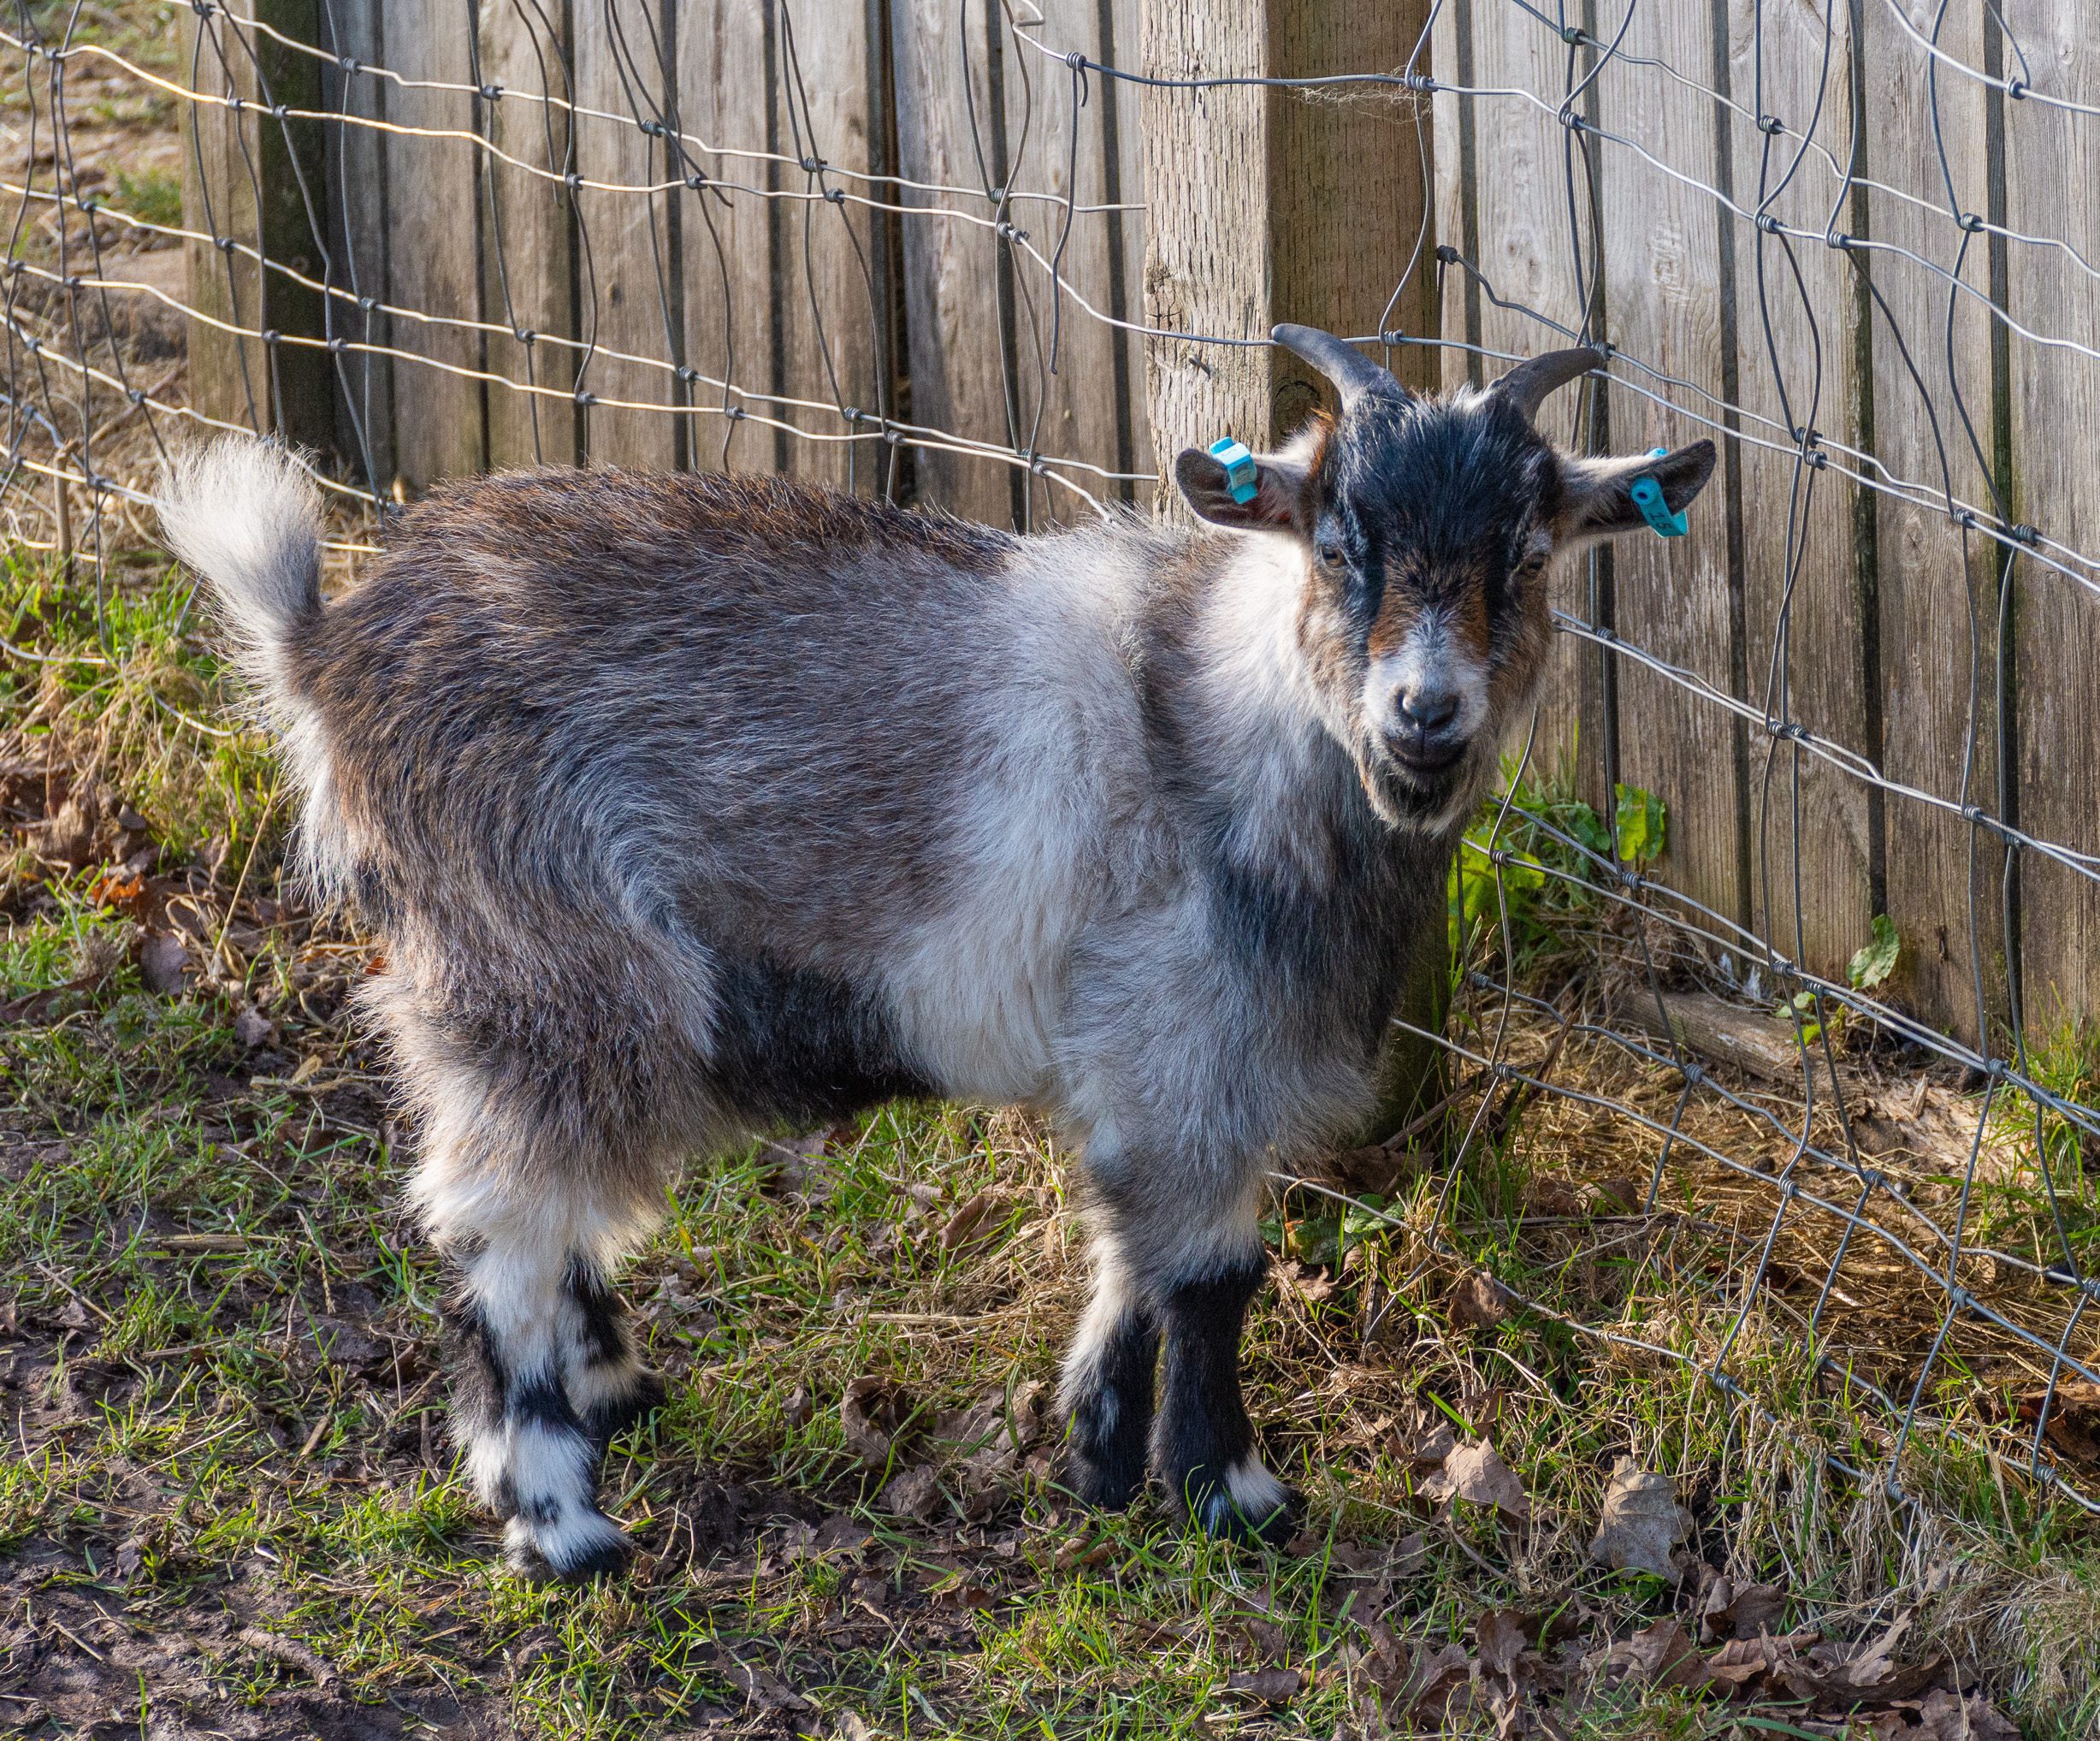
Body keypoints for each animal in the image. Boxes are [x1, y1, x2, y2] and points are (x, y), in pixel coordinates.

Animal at [159, 326, 1714, 1580]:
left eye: (1528, 557)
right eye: (1337, 546)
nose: (1424, 715)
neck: (1228, 716)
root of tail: (326, 648)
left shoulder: (1135, 1061)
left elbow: (1125, 1250)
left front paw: (1099, 1452)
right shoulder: (1189, 1040)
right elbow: (1213, 1272)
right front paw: (1234, 1495)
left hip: (503, 987)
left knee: (527, 1207)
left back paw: (605, 1393)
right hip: (551, 965)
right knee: (504, 1224)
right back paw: (561, 1518)